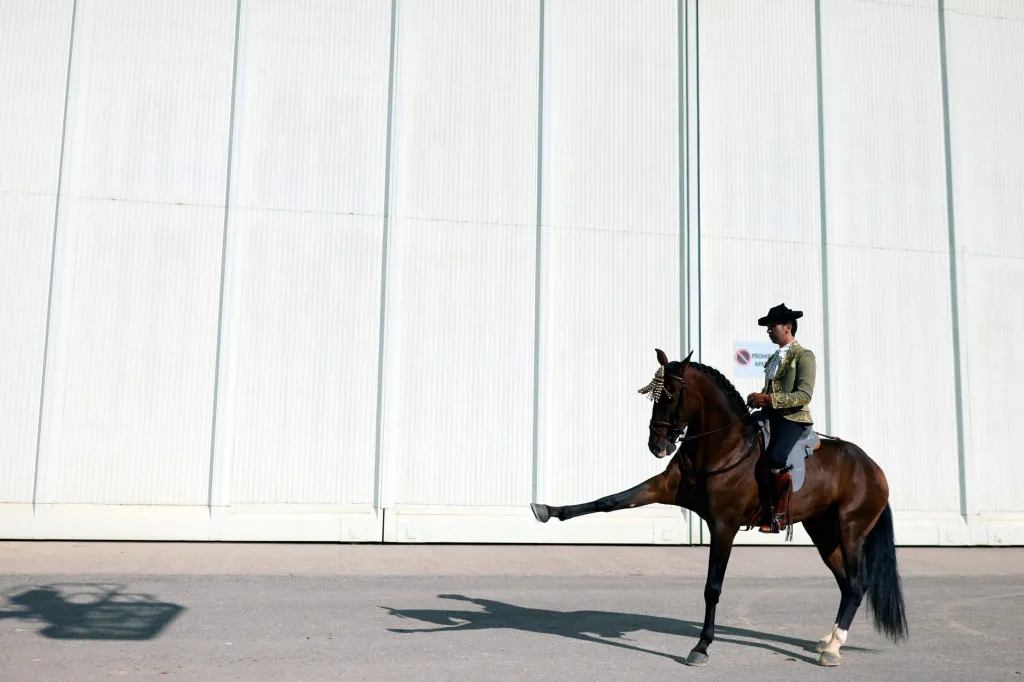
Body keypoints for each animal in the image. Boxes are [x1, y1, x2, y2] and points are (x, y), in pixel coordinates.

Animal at [532, 348, 909, 667]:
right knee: (846, 584)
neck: (721, 446)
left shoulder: (724, 526)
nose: (657, 445)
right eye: (655, 395)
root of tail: (873, 467)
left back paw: (832, 650)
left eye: (671, 395)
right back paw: (828, 640)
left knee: (857, 585)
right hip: (823, 533)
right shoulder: (662, 488)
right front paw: (548, 510)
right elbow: (609, 501)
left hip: (850, 531)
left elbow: (712, 588)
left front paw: (701, 647)